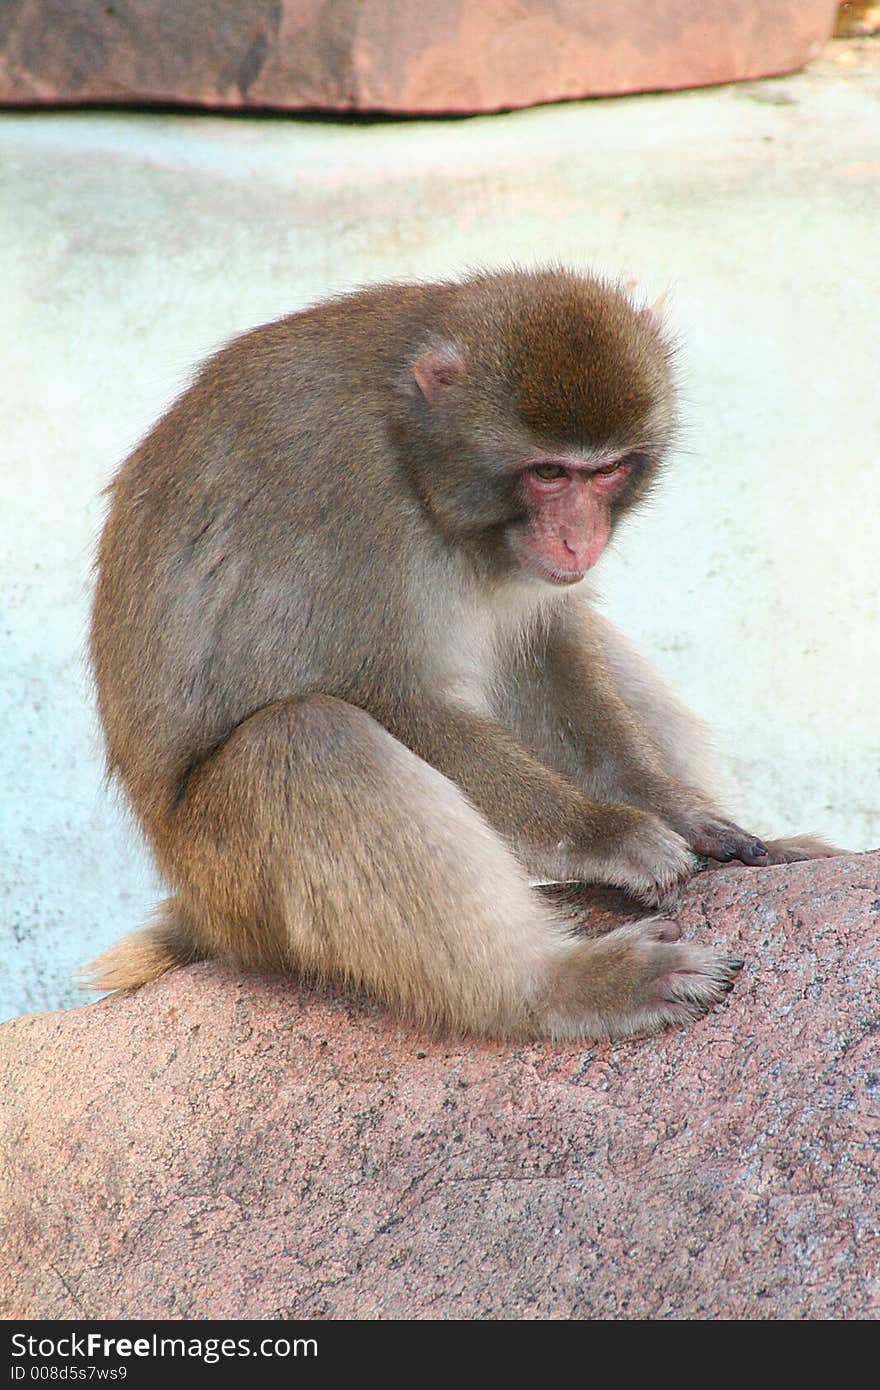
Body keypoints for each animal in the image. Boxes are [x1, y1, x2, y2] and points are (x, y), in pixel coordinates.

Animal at [82, 265, 839, 1039]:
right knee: (306, 738)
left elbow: (543, 639)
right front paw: (606, 833)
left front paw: (673, 809)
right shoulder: (352, 492)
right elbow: (395, 698)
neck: (414, 446)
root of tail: (195, 905)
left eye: (606, 472)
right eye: (548, 473)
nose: (579, 540)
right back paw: (560, 987)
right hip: (227, 882)